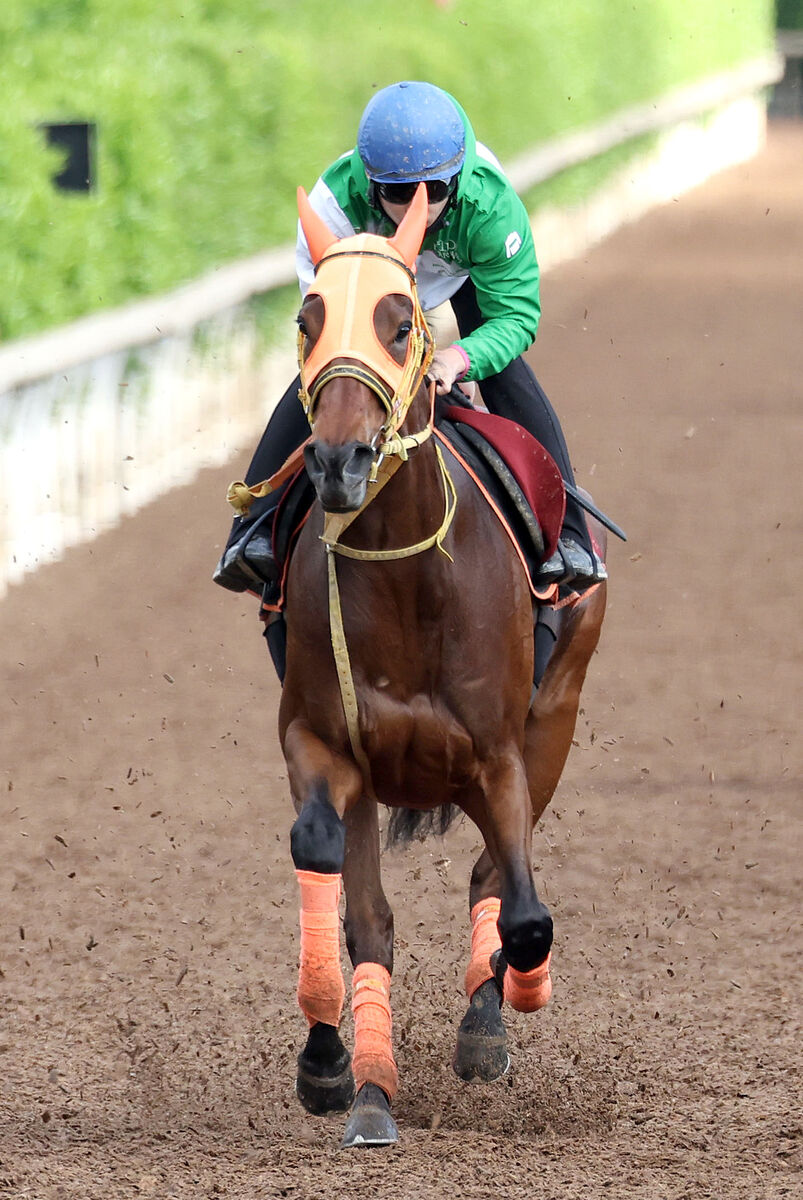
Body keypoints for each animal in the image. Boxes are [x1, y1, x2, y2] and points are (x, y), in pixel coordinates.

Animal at [272, 182, 604, 1147]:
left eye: (398, 320)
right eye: (307, 318)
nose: (338, 460)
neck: (408, 578)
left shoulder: (497, 756)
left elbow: (525, 912)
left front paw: (507, 1007)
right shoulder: (320, 738)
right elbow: (339, 886)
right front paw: (331, 1064)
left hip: (554, 719)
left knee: (495, 880)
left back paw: (485, 1022)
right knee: (371, 918)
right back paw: (371, 1091)